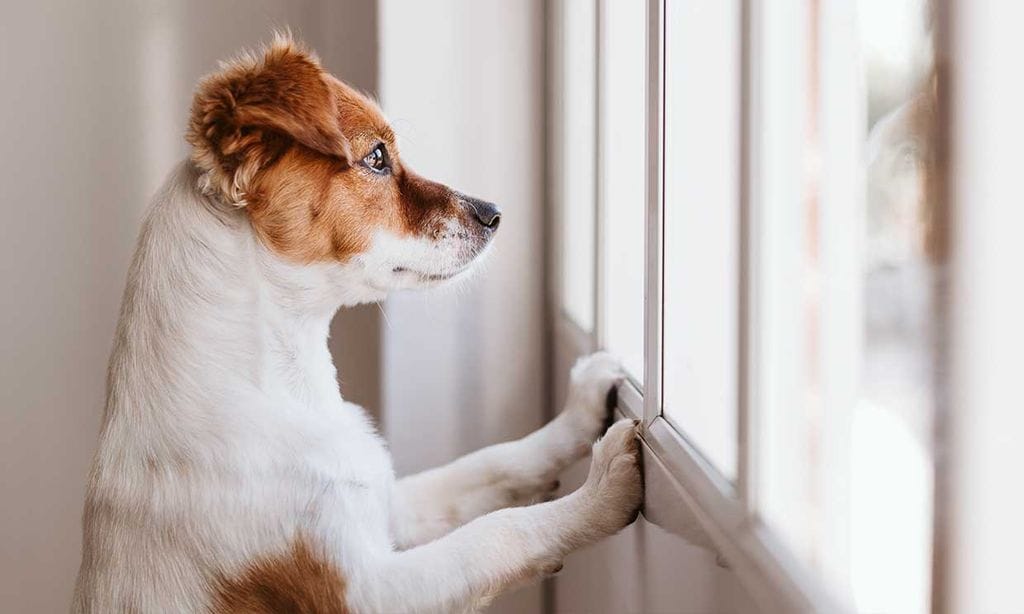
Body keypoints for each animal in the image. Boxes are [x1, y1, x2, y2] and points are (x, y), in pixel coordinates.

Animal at [74, 34, 638, 614]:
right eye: (376, 158)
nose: (494, 213)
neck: (285, 387)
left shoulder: (389, 506)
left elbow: (492, 464)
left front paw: (580, 410)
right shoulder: (367, 591)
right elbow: (497, 534)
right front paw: (601, 492)